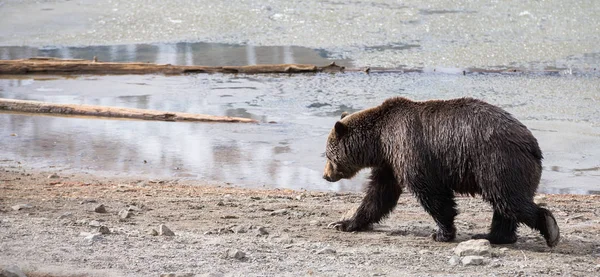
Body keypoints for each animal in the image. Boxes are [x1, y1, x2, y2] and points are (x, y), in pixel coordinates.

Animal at [326, 96, 560, 246]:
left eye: (328, 155)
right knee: (504, 205)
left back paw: (549, 228)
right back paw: (493, 236)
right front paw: (344, 223)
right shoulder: (389, 163)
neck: (380, 141)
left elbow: (432, 193)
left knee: (509, 199)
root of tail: (532, 145)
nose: (326, 175)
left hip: (497, 161)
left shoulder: (411, 149)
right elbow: (379, 195)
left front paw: (441, 233)